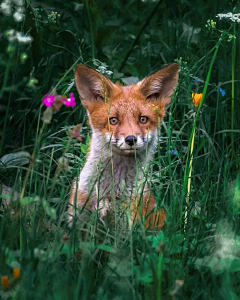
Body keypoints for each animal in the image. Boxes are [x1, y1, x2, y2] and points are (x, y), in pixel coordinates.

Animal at [67, 63, 178, 230]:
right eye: (113, 120)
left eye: (143, 119)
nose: (131, 139)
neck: (111, 191)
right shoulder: (77, 219)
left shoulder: (125, 227)